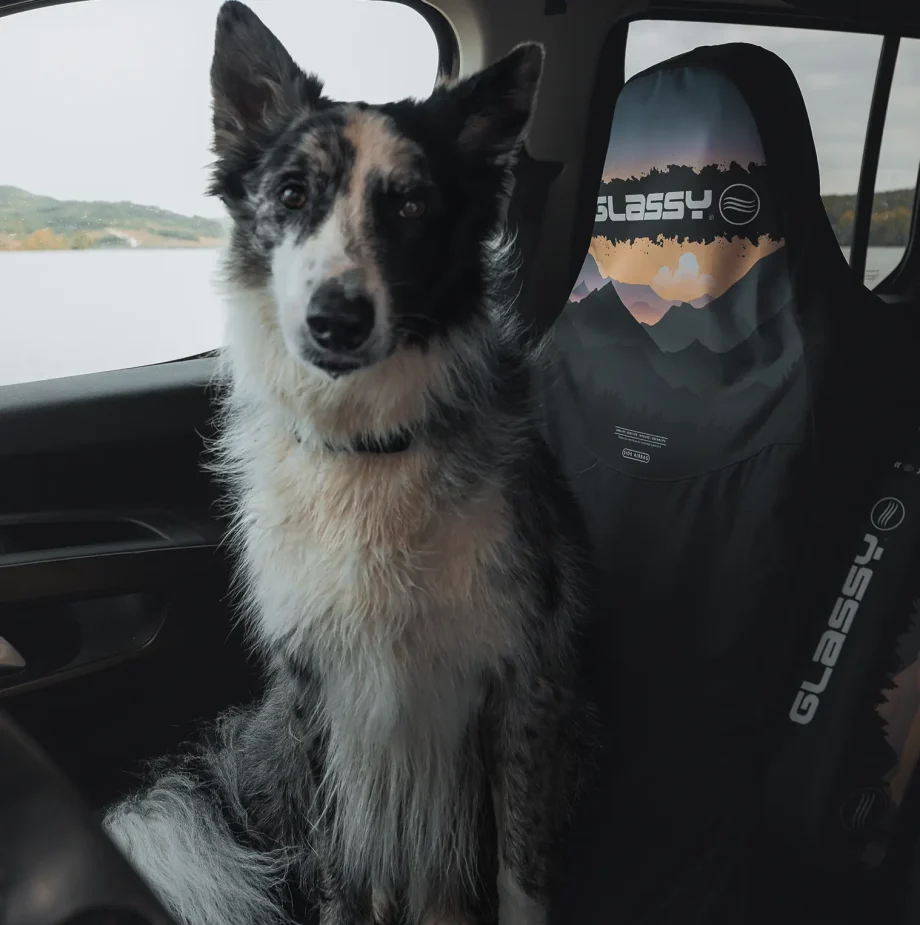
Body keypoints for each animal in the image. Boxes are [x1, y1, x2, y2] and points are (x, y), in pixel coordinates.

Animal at [104, 3, 592, 920]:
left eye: (411, 206)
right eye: (294, 193)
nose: (337, 318)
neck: (368, 446)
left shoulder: (526, 680)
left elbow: (522, 871)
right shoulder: (316, 695)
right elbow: (336, 867)